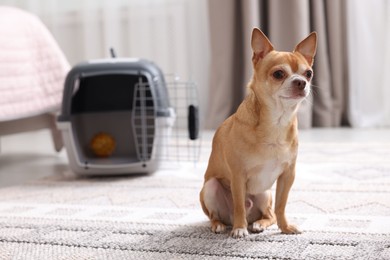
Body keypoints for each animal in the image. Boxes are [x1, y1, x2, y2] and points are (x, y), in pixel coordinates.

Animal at [200, 27, 316, 238]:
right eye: (278, 74)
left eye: (308, 73)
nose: (301, 82)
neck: (276, 121)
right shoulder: (238, 175)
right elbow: (238, 204)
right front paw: (240, 229)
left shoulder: (287, 175)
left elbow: (281, 206)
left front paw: (285, 227)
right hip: (210, 187)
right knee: (217, 214)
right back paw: (221, 225)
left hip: (265, 193)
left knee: (269, 213)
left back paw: (259, 224)